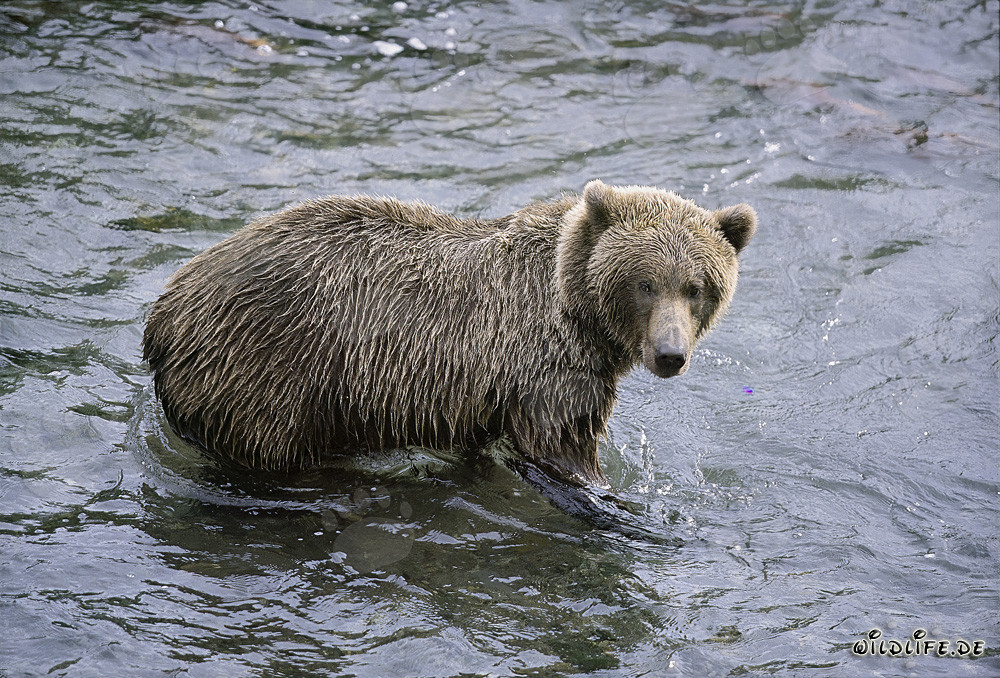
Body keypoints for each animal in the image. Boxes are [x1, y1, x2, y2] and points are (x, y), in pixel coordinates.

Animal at [143, 180, 756, 524]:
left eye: (696, 286)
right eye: (645, 283)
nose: (670, 354)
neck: (574, 309)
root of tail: (163, 312)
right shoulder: (547, 370)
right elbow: (562, 452)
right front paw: (622, 506)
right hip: (267, 372)